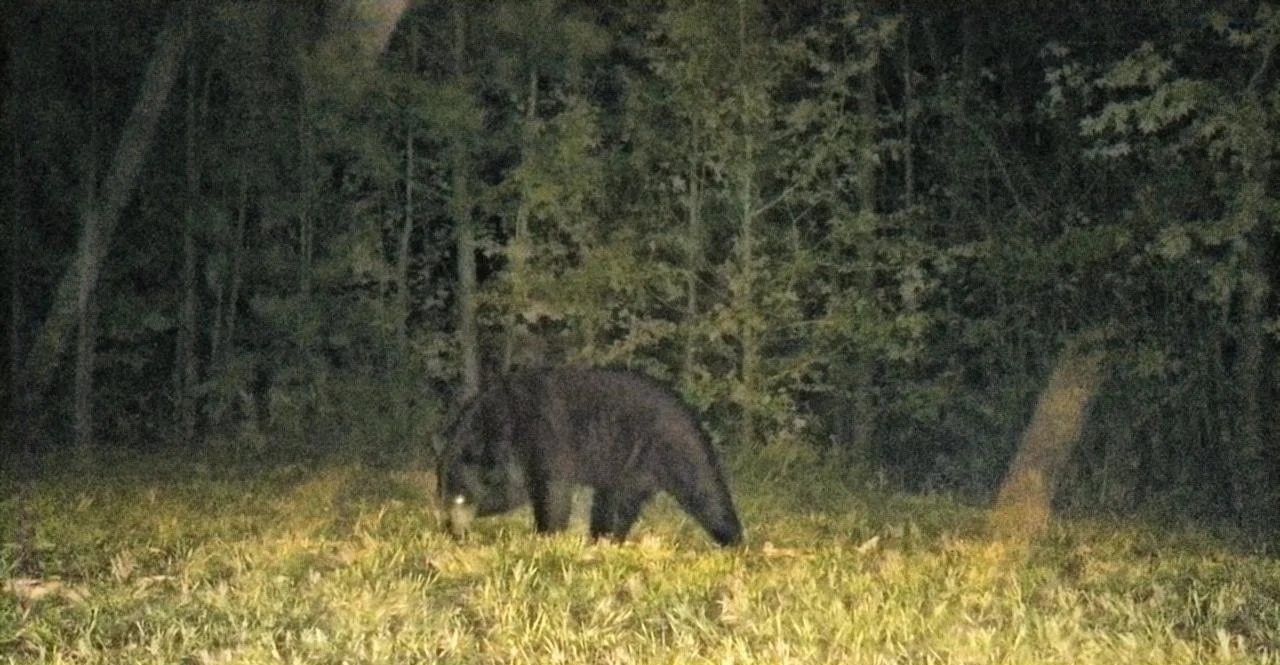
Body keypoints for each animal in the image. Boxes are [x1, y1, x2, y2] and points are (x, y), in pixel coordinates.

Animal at [437, 368, 744, 547]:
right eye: (443, 495)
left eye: (460, 497)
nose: (453, 531)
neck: (504, 426)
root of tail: (688, 411)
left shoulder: (544, 436)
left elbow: (552, 491)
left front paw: (544, 535)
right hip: (627, 465)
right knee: (615, 503)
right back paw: (603, 539)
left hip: (672, 448)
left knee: (704, 491)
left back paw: (732, 540)